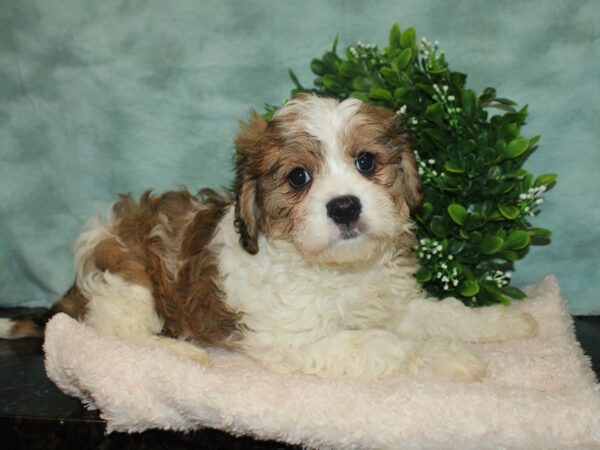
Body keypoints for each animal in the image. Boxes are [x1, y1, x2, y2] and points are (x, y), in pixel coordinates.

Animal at [0, 94, 536, 380]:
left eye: (366, 162)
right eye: (298, 177)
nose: (345, 206)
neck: (337, 271)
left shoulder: (396, 305)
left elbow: (443, 314)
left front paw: (506, 322)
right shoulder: (295, 340)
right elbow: (390, 344)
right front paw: (450, 357)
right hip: (127, 282)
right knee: (117, 333)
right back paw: (181, 352)